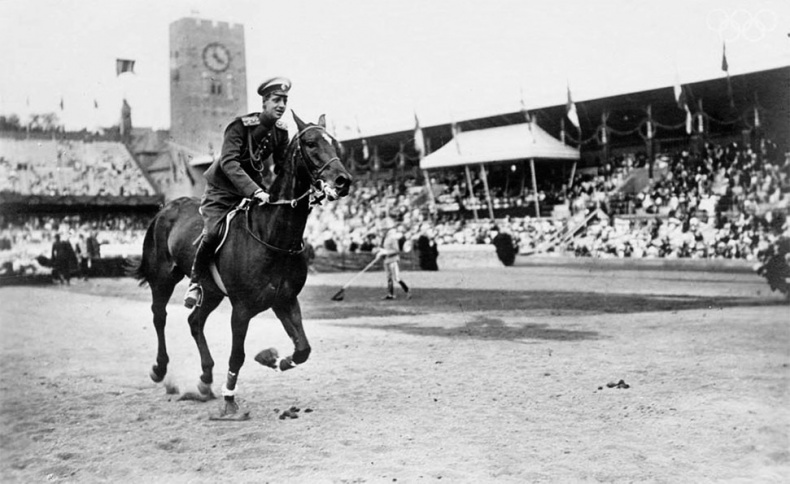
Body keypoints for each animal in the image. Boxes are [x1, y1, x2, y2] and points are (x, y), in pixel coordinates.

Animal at [132, 114, 350, 420]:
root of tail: (166, 208)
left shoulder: (285, 300)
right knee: (159, 317)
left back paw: (205, 379)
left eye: (335, 143)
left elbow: (302, 349)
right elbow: (238, 355)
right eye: (310, 143)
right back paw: (160, 368)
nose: (343, 181)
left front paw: (272, 359)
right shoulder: (242, 309)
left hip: (211, 291)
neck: (272, 235)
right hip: (162, 279)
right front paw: (230, 401)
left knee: (195, 322)